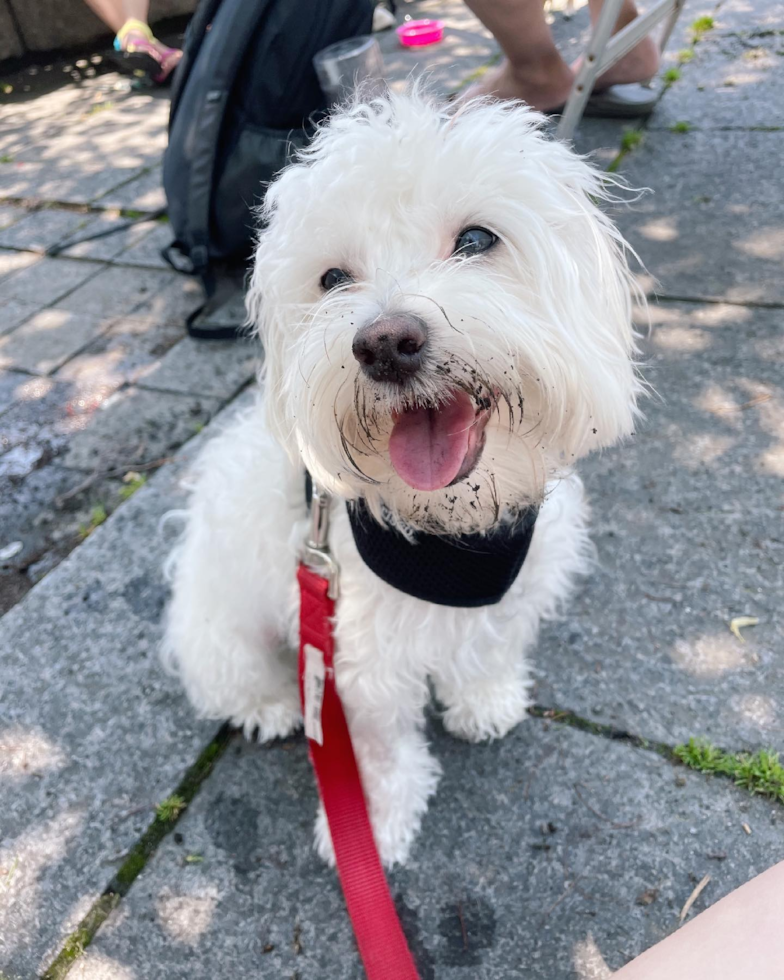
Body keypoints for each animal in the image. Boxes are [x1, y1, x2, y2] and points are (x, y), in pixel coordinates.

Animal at [162, 92, 640, 864]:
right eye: (332, 279)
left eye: (476, 239)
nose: (385, 343)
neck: (451, 534)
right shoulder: (360, 653)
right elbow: (382, 748)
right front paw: (377, 823)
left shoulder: (511, 592)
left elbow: (489, 651)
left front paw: (485, 701)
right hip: (222, 626)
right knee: (229, 677)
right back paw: (270, 705)